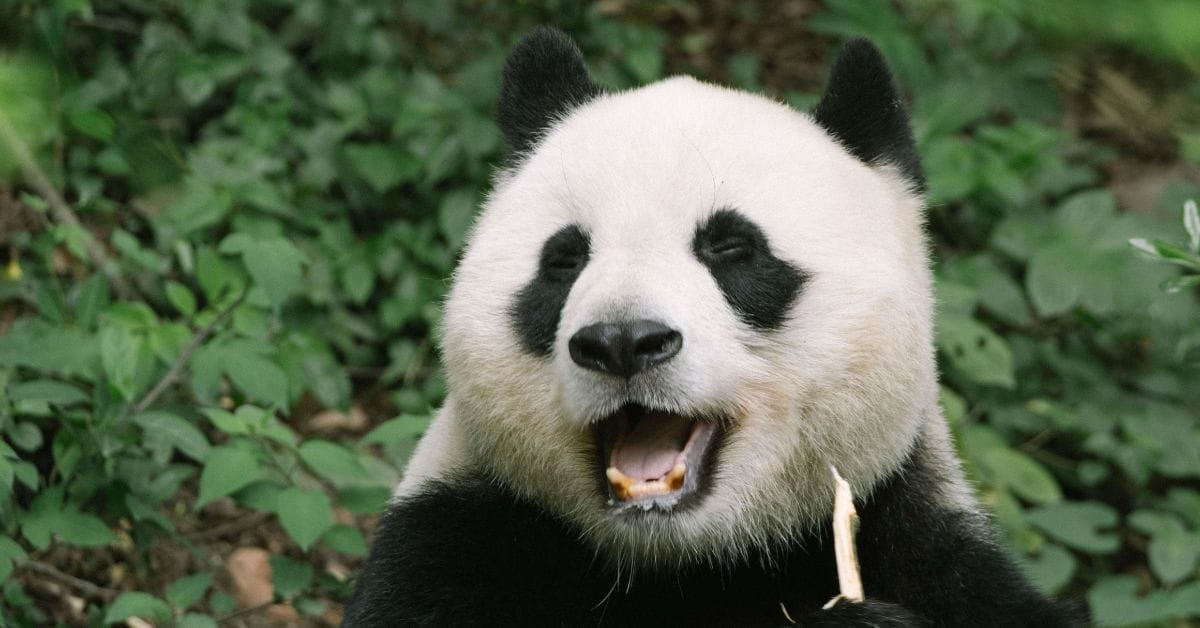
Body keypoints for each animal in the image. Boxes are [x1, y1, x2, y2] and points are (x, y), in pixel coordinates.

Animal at [343, 27, 1081, 627]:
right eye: (565, 259)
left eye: (729, 247)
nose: (622, 342)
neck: (681, 560)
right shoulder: (457, 537)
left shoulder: (920, 536)